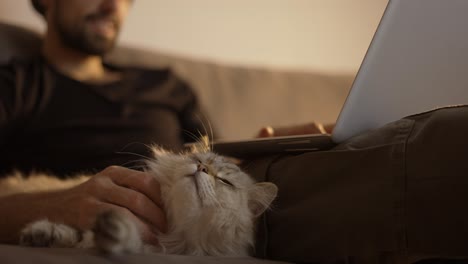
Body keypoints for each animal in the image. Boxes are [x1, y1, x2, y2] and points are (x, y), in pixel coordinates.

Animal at [3, 143, 278, 256]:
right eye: (198, 160)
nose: (201, 168)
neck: (169, 235)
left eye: (226, 182)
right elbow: (75, 233)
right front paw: (44, 233)